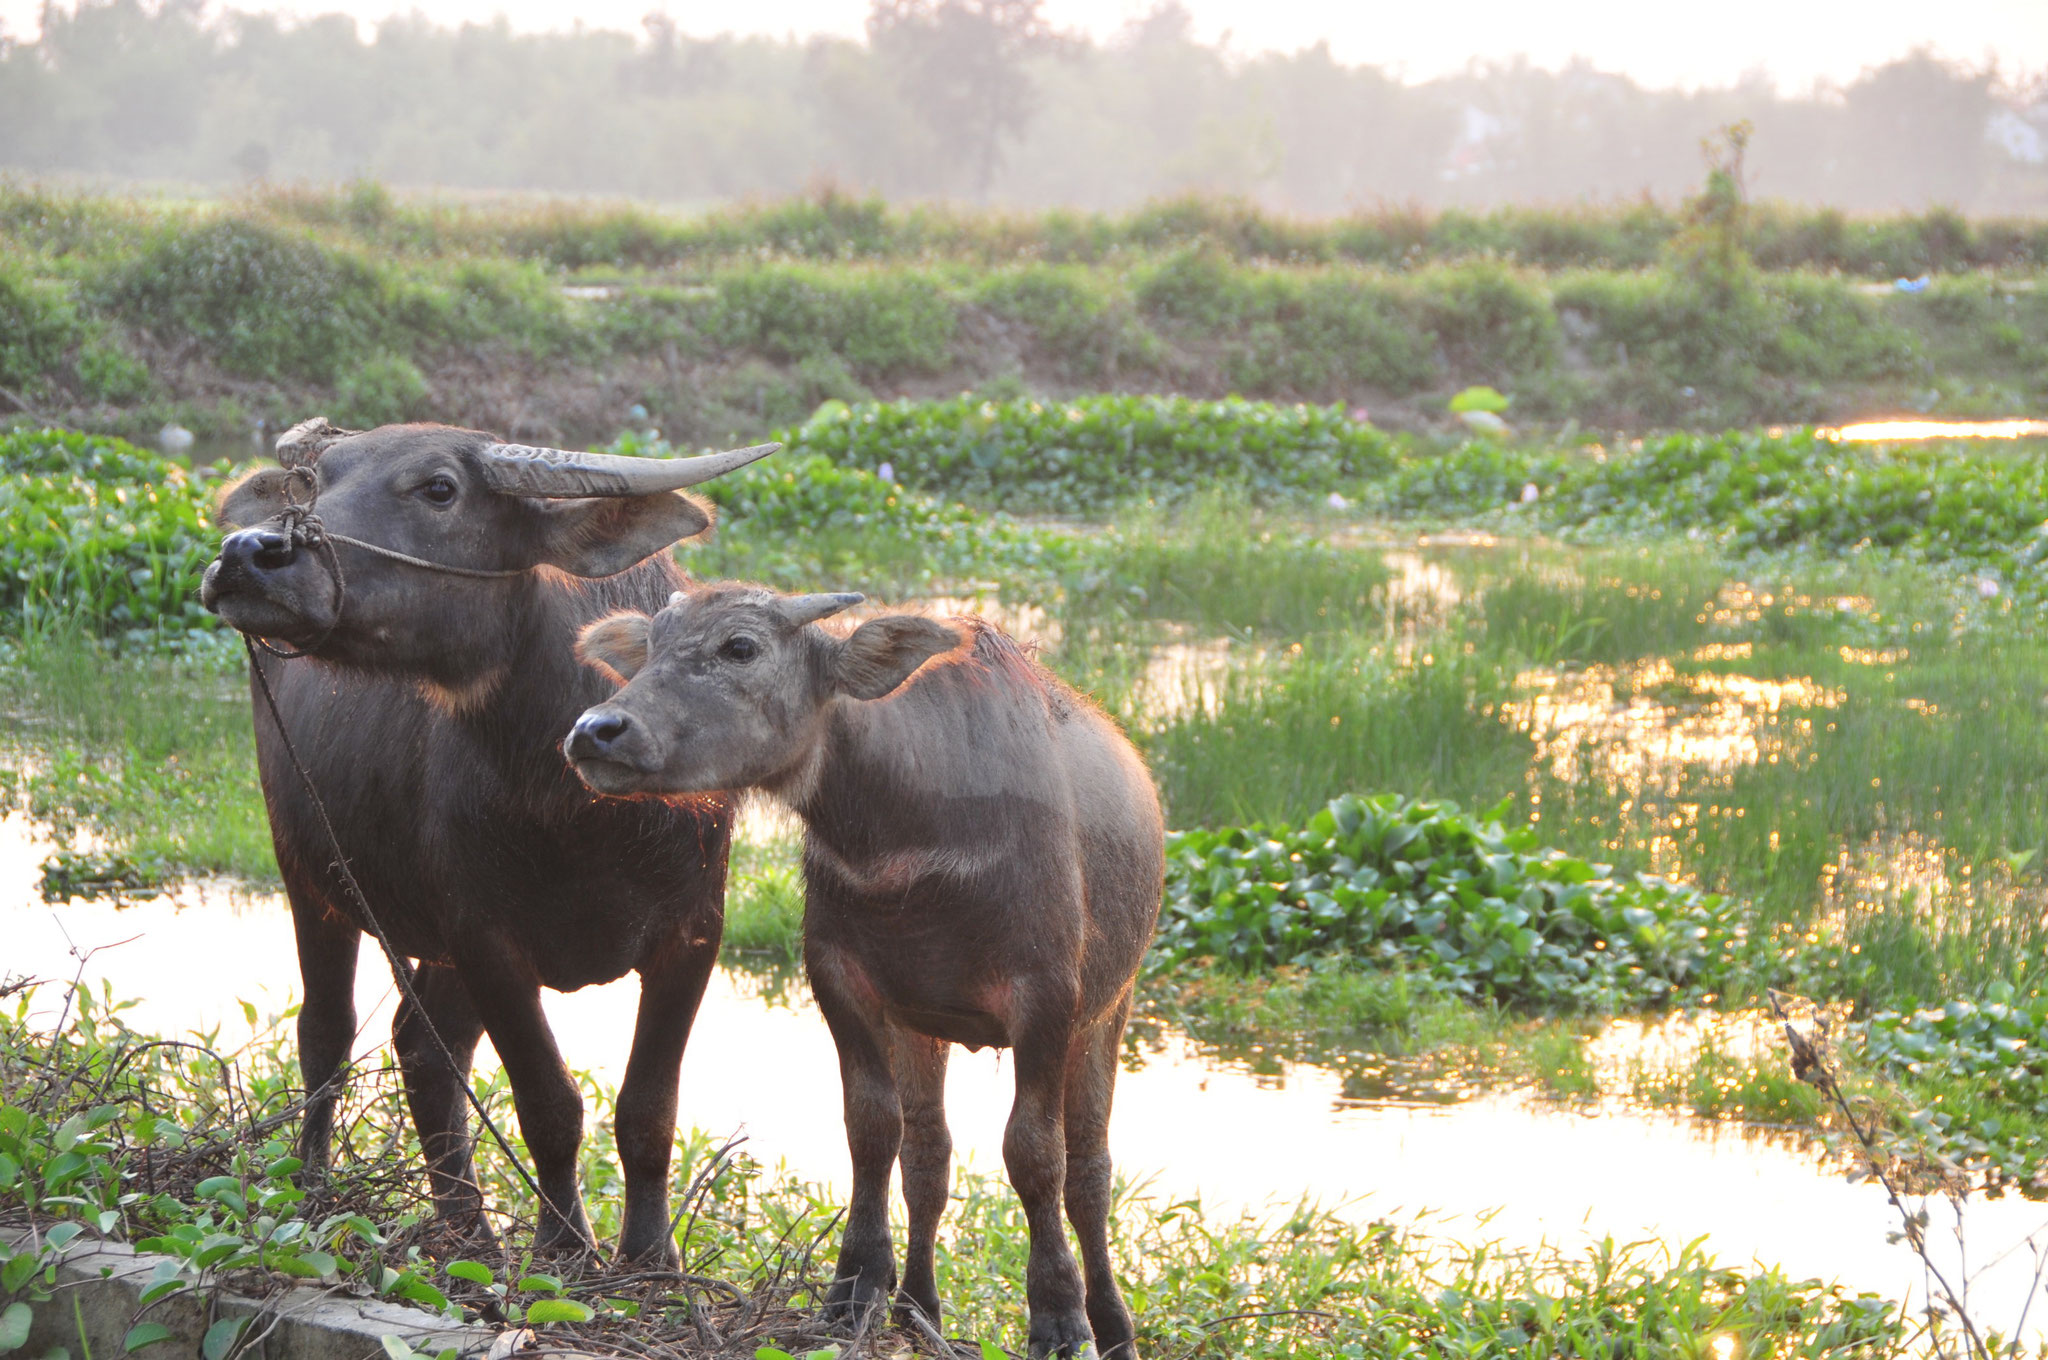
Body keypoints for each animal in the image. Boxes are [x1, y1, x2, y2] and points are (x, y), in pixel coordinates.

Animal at [199, 417, 774, 1261]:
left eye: (440, 488)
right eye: (318, 481)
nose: (249, 553)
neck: (577, 812)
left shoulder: (693, 934)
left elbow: (647, 1111)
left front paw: (648, 1259)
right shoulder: (488, 942)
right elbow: (549, 1107)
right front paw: (563, 1249)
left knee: (420, 1046)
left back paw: (466, 1228)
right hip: (310, 879)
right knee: (326, 1034)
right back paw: (315, 1188)